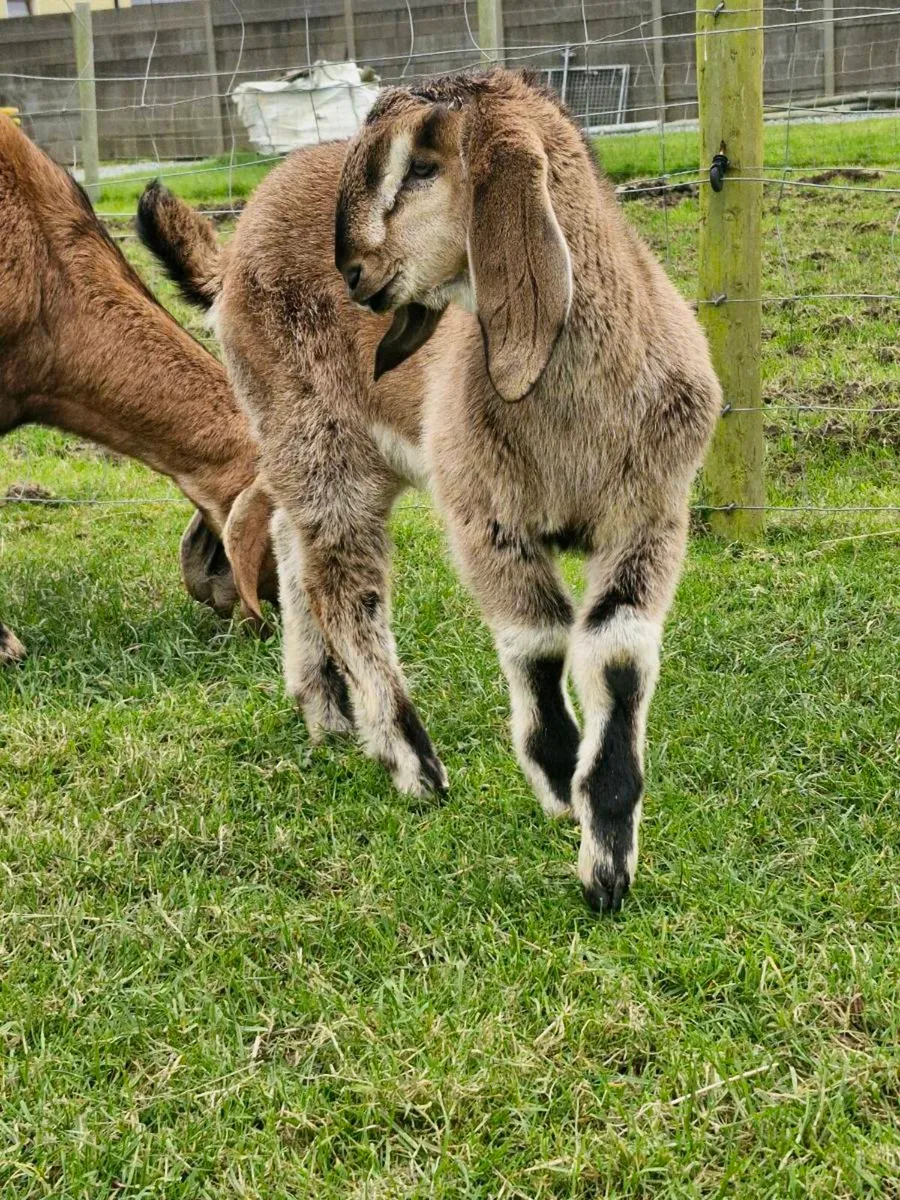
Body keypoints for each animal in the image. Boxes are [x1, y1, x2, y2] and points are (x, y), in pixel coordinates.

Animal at [139, 69, 721, 912]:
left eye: (421, 167)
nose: (352, 273)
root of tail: (236, 243)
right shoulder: (484, 517)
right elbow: (539, 640)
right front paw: (558, 780)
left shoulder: (649, 518)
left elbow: (616, 656)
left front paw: (608, 861)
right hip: (313, 433)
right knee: (344, 585)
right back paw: (412, 761)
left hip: (325, 453)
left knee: (296, 550)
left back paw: (326, 712)